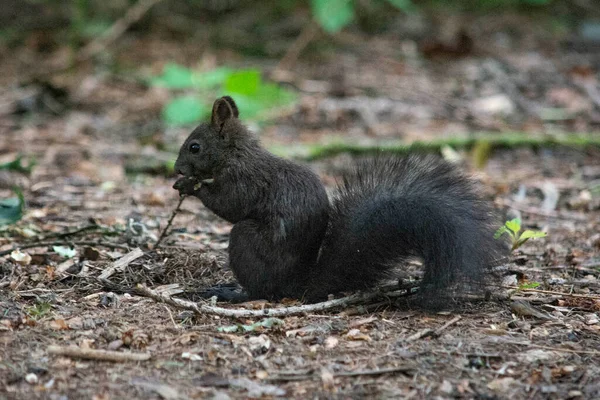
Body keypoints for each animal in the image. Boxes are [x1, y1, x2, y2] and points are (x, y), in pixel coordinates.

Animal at [173, 97, 506, 306]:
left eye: (194, 147)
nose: (176, 168)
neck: (235, 153)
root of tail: (298, 285)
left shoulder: (245, 180)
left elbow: (230, 205)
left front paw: (191, 186)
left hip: (246, 242)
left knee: (262, 291)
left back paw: (233, 293)